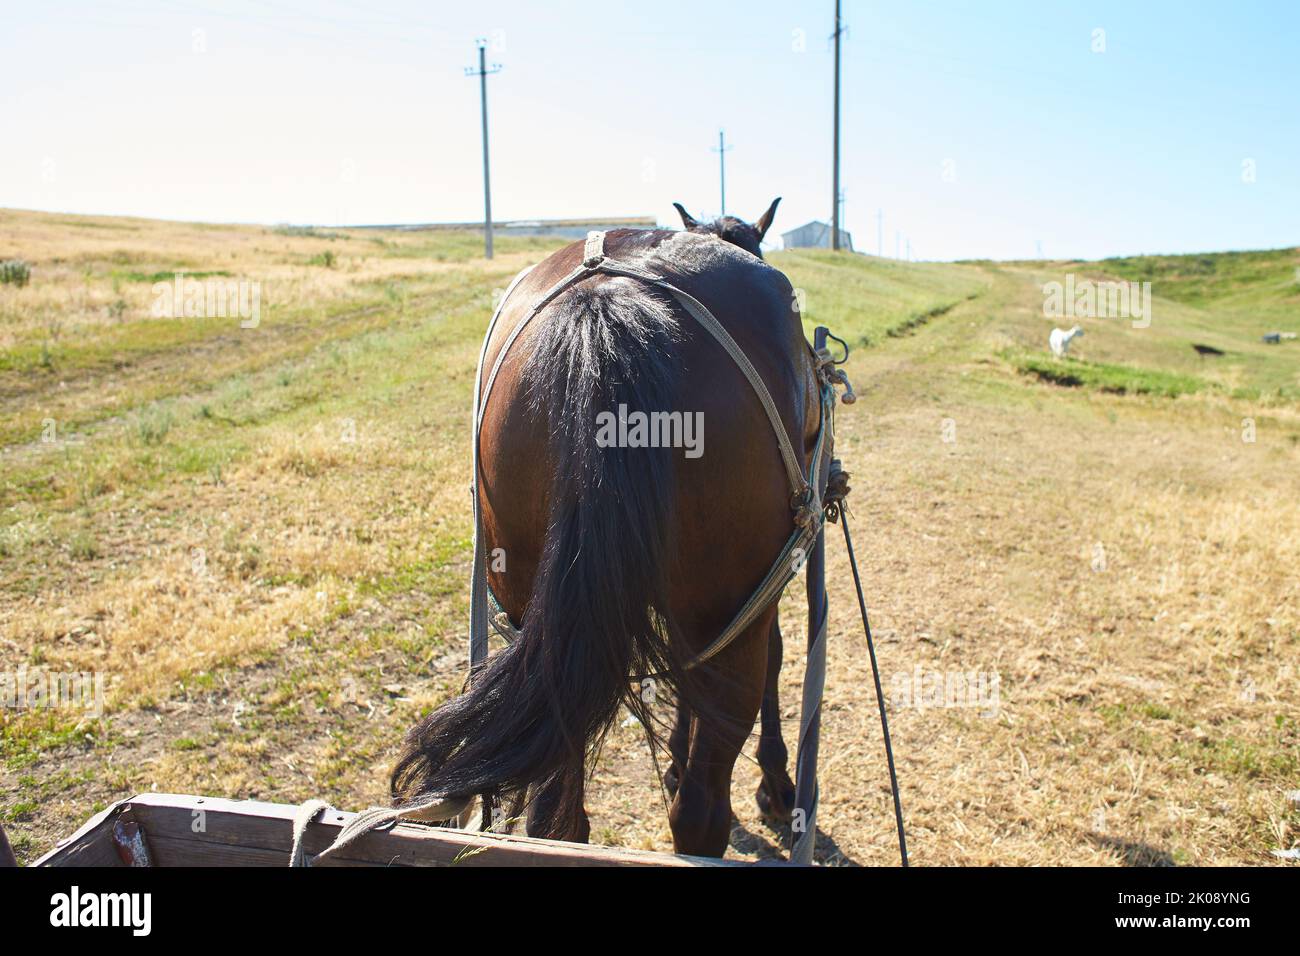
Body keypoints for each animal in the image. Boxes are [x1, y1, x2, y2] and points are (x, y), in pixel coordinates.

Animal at [390, 197, 816, 858]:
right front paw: (773, 783)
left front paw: (676, 759)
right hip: (731, 615)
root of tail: (607, 302)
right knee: (701, 809)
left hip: (537, 624)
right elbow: (772, 659)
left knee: (555, 816)